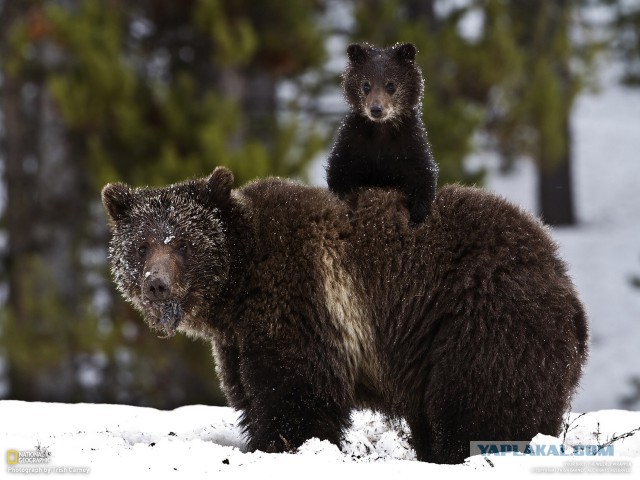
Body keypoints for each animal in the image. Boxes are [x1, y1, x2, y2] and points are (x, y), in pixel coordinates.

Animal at [102, 167, 588, 464]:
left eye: (183, 242)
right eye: (141, 244)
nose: (156, 283)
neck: (238, 288)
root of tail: (559, 269)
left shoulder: (302, 300)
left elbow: (295, 393)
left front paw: (283, 446)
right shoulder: (238, 339)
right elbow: (249, 392)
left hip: (482, 321)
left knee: (482, 405)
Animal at [328, 44, 438, 224]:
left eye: (391, 85)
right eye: (366, 85)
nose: (376, 109)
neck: (381, 130)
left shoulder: (409, 143)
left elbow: (422, 175)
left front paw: (417, 216)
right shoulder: (353, 142)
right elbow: (340, 173)